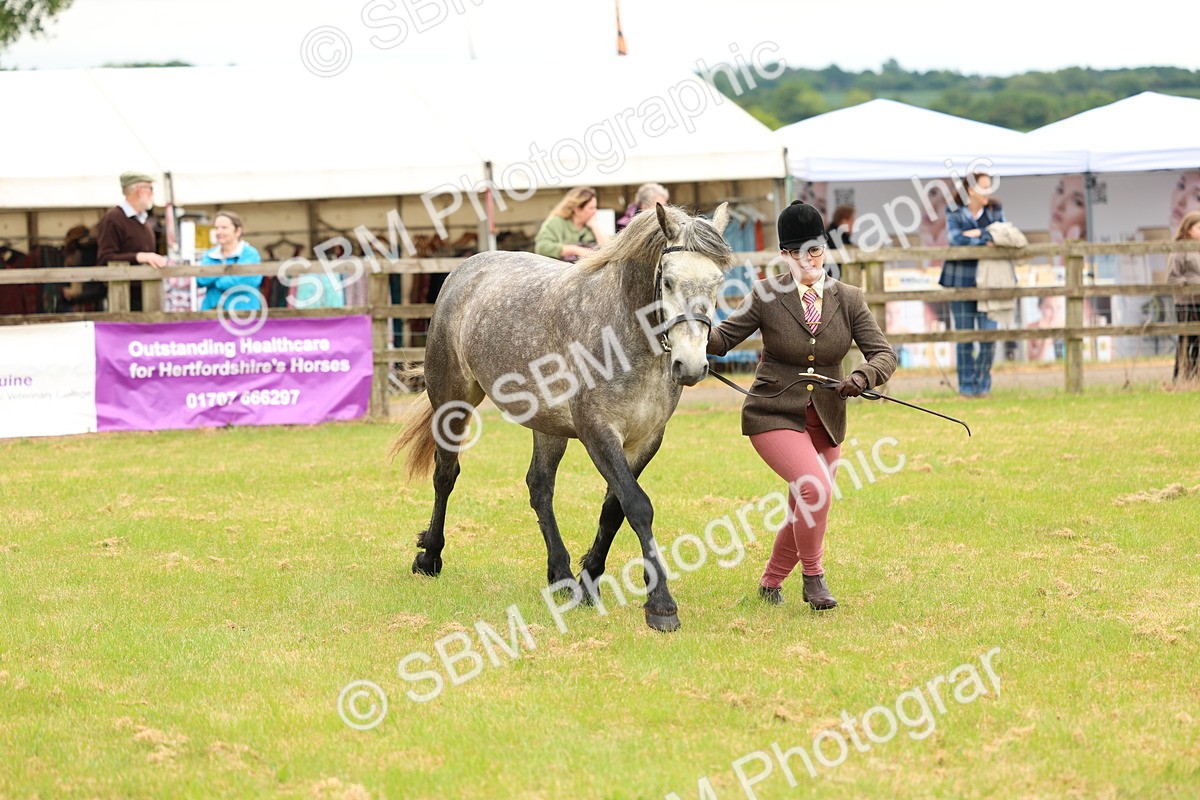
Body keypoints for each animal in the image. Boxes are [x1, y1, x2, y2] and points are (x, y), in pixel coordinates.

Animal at [391, 203, 733, 632]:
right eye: (668, 282)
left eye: (718, 281)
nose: (690, 366)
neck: (623, 335)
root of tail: (464, 270)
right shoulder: (597, 432)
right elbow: (638, 505)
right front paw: (661, 605)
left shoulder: (646, 439)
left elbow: (614, 509)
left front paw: (589, 580)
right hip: (452, 400)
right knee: (445, 474)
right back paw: (430, 557)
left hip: (548, 426)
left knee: (539, 488)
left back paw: (561, 575)